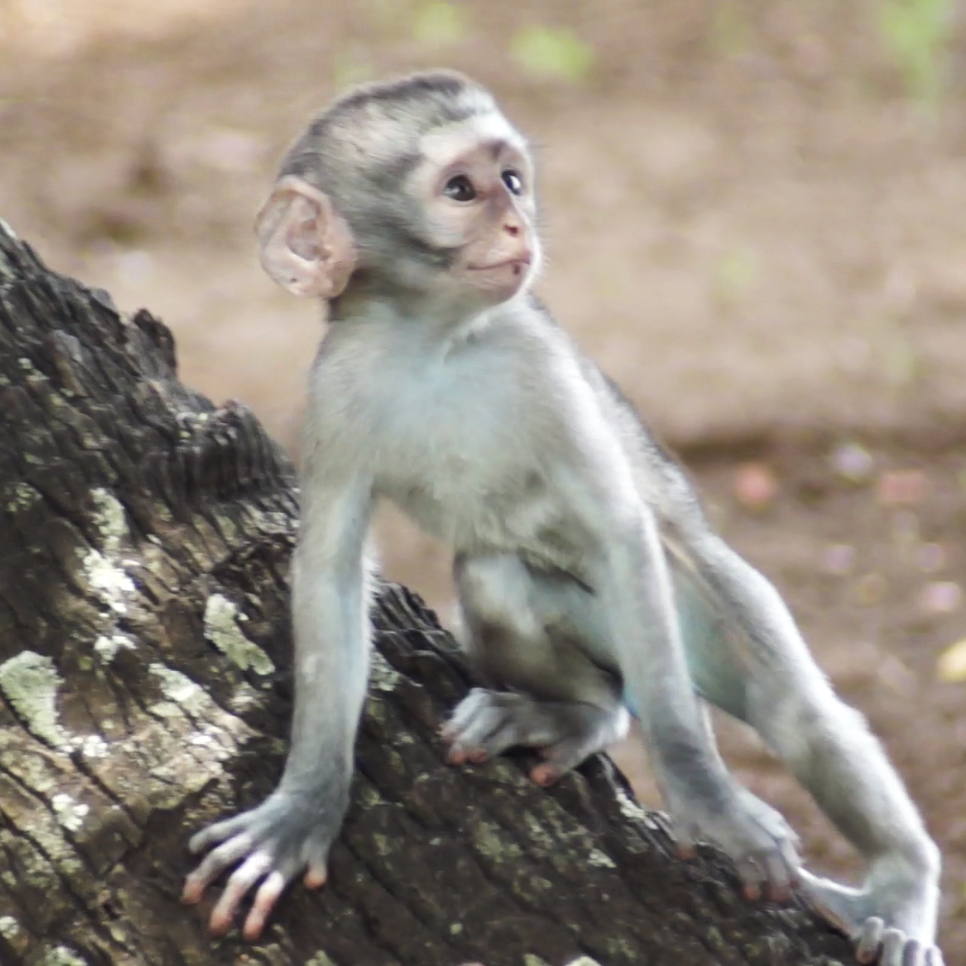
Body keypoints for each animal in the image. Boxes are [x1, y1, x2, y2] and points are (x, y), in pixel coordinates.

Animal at [182, 71, 942, 966]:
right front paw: (305, 806)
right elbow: (329, 578)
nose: (517, 222)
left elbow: (621, 531)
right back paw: (578, 715)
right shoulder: (335, 389)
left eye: (512, 180)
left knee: (799, 713)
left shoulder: (537, 361)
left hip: (704, 608)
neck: (435, 345)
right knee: (498, 576)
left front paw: (704, 796)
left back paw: (901, 891)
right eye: (461, 189)